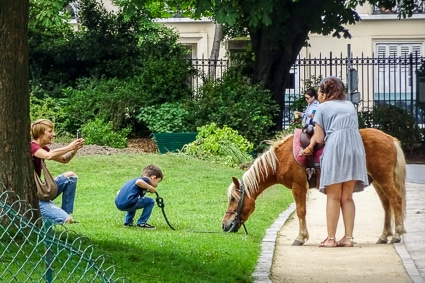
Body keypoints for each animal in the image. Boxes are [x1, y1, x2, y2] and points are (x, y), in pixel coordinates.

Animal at [220, 129, 406, 246]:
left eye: (233, 199)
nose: (224, 225)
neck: (281, 158)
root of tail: (390, 139)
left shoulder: (298, 187)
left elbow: (301, 211)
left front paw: (301, 237)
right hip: (377, 181)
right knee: (387, 205)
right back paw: (384, 236)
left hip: (383, 178)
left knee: (396, 200)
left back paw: (397, 234)